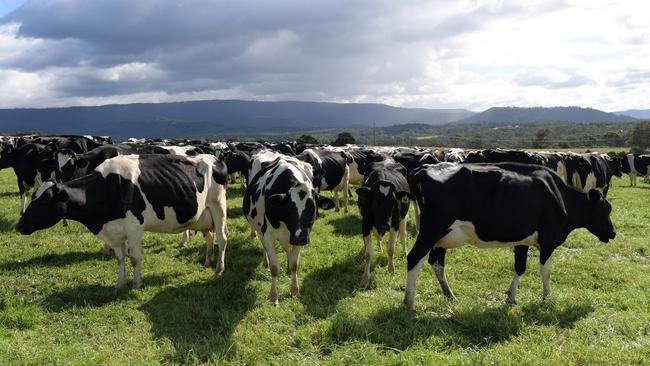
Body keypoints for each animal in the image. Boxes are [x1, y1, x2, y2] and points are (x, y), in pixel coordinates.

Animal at [15, 154, 228, 288]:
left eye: (44, 200)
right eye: (33, 196)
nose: (19, 225)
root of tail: (213, 158)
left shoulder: (134, 227)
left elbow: (134, 258)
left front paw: (136, 284)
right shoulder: (114, 231)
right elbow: (119, 258)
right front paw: (120, 283)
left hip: (218, 206)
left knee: (222, 238)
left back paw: (218, 269)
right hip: (202, 216)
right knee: (210, 237)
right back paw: (207, 262)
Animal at [243, 153, 334, 304]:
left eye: (312, 208)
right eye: (289, 208)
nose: (298, 237)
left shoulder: (302, 235)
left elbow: (294, 264)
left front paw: (295, 291)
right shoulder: (268, 234)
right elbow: (275, 267)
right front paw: (273, 297)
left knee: (287, 250)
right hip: (259, 228)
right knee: (263, 245)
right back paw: (265, 262)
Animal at [354, 160, 410, 288]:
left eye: (394, 201)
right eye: (375, 201)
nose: (384, 225)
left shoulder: (394, 224)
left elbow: (391, 248)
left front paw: (391, 269)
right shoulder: (365, 224)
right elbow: (368, 254)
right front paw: (365, 279)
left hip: (403, 218)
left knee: (403, 235)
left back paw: (405, 251)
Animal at [402, 162, 616, 312]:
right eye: (606, 210)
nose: (613, 233)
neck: (559, 196)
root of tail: (421, 169)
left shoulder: (523, 240)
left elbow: (520, 267)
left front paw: (511, 298)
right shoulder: (548, 241)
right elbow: (545, 271)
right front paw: (547, 296)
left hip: (441, 239)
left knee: (436, 263)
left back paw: (450, 296)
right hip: (432, 230)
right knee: (414, 258)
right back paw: (410, 303)